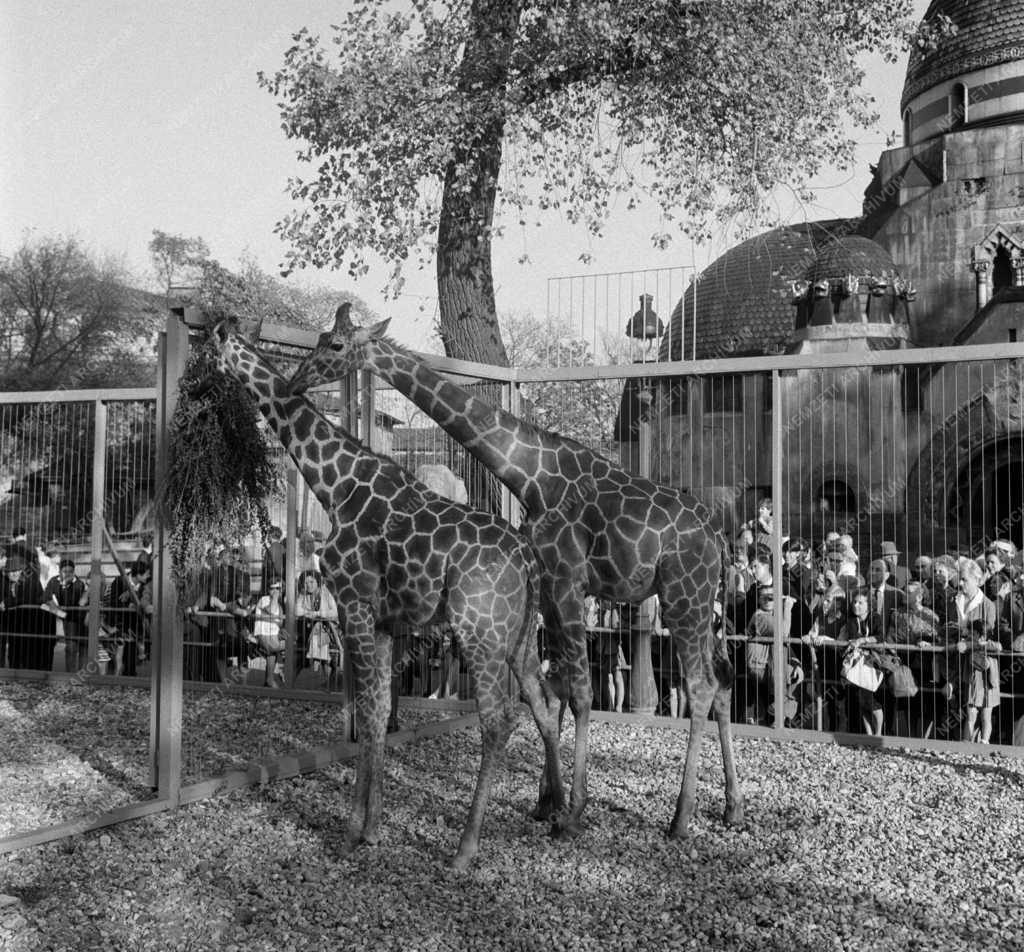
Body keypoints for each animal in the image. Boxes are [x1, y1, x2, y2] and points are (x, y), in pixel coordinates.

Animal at [200, 319, 565, 868]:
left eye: (206, 352)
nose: (293, 383)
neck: (336, 487)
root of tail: (527, 559)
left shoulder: (352, 605)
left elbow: (368, 716)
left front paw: (353, 831)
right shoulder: (387, 620)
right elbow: (377, 716)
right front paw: (373, 828)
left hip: (478, 632)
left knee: (498, 719)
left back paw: (465, 848)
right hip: (519, 639)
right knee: (542, 703)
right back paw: (558, 812)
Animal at [288, 300, 745, 835]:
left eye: (336, 345)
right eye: (320, 339)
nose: (296, 380)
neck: (532, 476)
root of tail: (718, 538)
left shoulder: (567, 583)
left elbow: (580, 693)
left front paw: (572, 812)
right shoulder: (547, 589)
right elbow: (550, 693)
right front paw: (547, 800)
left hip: (681, 599)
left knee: (701, 685)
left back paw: (680, 817)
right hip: (704, 603)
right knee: (722, 683)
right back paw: (732, 807)